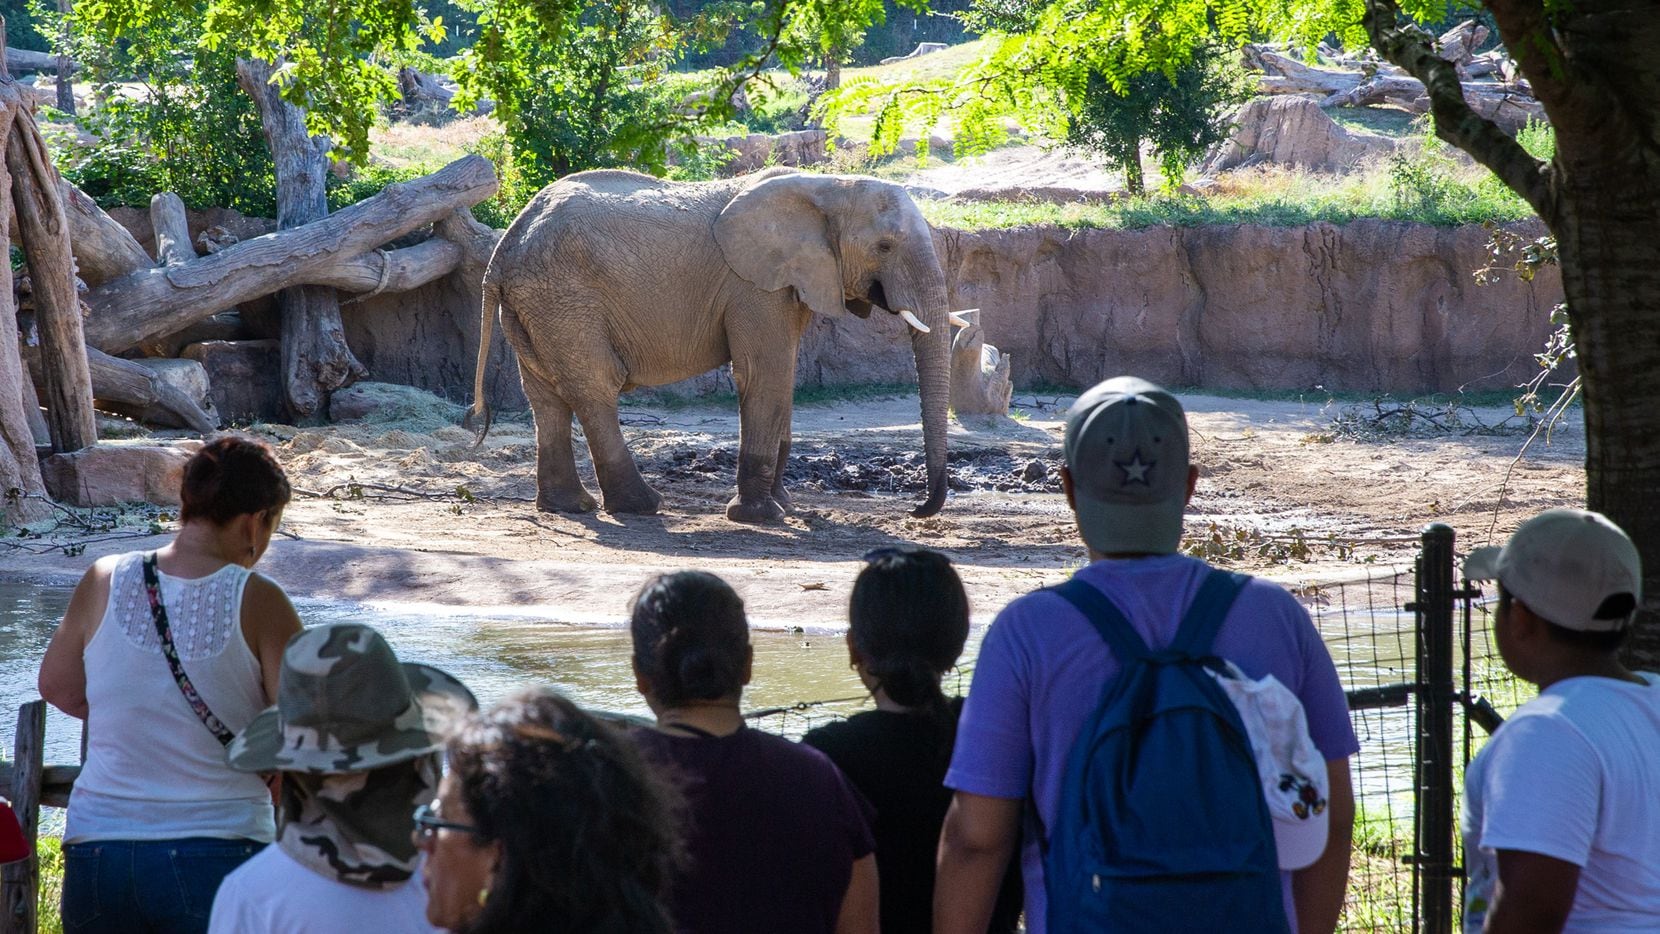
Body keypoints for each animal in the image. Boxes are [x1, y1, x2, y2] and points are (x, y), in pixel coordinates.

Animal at [474, 170, 956, 527]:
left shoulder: (789, 283)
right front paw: (761, 517)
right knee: (594, 387)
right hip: (565, 299)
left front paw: (786, 506)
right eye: (885, 246)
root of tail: (503, 249)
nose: (916, 510)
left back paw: (570, 506)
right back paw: (643, 505)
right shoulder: (753, 287)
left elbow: (783, 379)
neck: (827, 186)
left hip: (536, 305)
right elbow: (765, 373)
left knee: (545, 397)